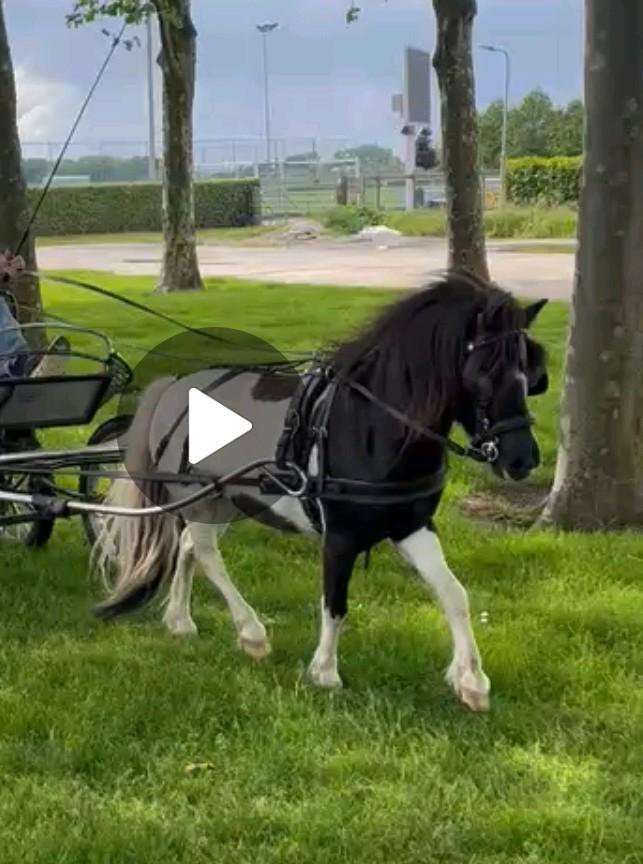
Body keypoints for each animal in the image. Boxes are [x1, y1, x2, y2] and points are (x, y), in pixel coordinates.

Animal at [93, 274, 549, 712]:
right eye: (484, 373)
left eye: (531, 375)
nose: (523, 458)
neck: (371, 426)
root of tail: (174, 387)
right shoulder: (341, 536)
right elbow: (335, 602)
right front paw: (325, 672)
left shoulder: (413, 526)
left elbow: (454, 593)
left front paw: (471, 681)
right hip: (200, 496)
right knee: (206, 554)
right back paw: (251, 632)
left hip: (222, 501)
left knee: (189, 546)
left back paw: (180, 621)